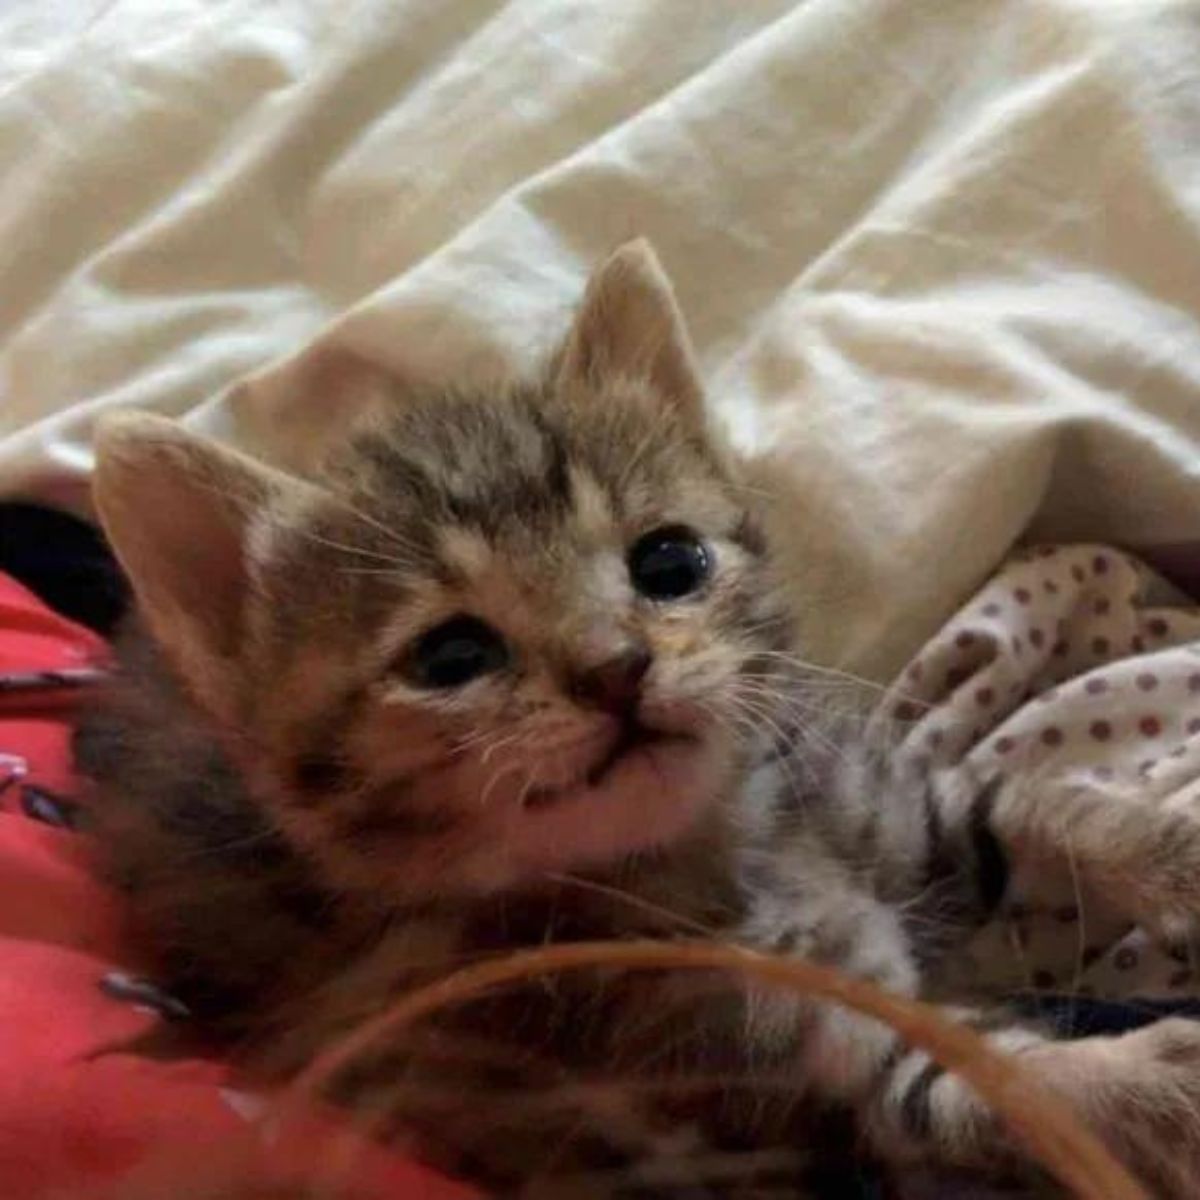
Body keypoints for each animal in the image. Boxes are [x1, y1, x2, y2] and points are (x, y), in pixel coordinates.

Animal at [77, 238, 1200, 1195]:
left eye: (670, 563)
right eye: (451, 657)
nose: (617, 669)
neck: (734, 842)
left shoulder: (908, 803)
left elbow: (1058, 815)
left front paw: (1171, 857)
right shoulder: (769, 1065)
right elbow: (997, 1086)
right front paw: (1161, 1081)